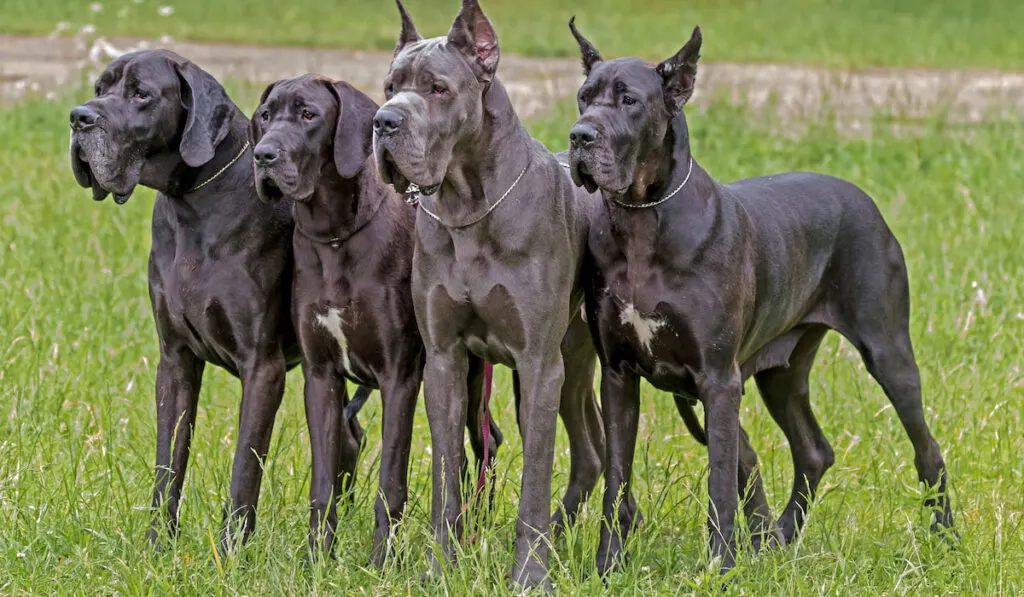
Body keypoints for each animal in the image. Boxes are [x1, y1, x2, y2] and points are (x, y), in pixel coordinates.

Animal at [247, 73, 503, 565]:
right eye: (265, 116)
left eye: (308, 114)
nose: (263, 155)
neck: (334, 238)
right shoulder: (320, 376)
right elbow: (323, 483)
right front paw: (317, 558)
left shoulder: (399, 377)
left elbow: (390, 481)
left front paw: (382, 562)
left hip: (470, 375)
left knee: (485, 444)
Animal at [370, 0, 602, 589]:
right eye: (390, 86)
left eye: (437, 89)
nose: (383, 122)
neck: (470, 206)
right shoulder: (444, 360)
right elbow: (447, 476)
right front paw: (440, 566)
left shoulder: (539, 365)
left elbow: (533, 484)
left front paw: (531, 576)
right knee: (592, 451)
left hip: (563, 365)